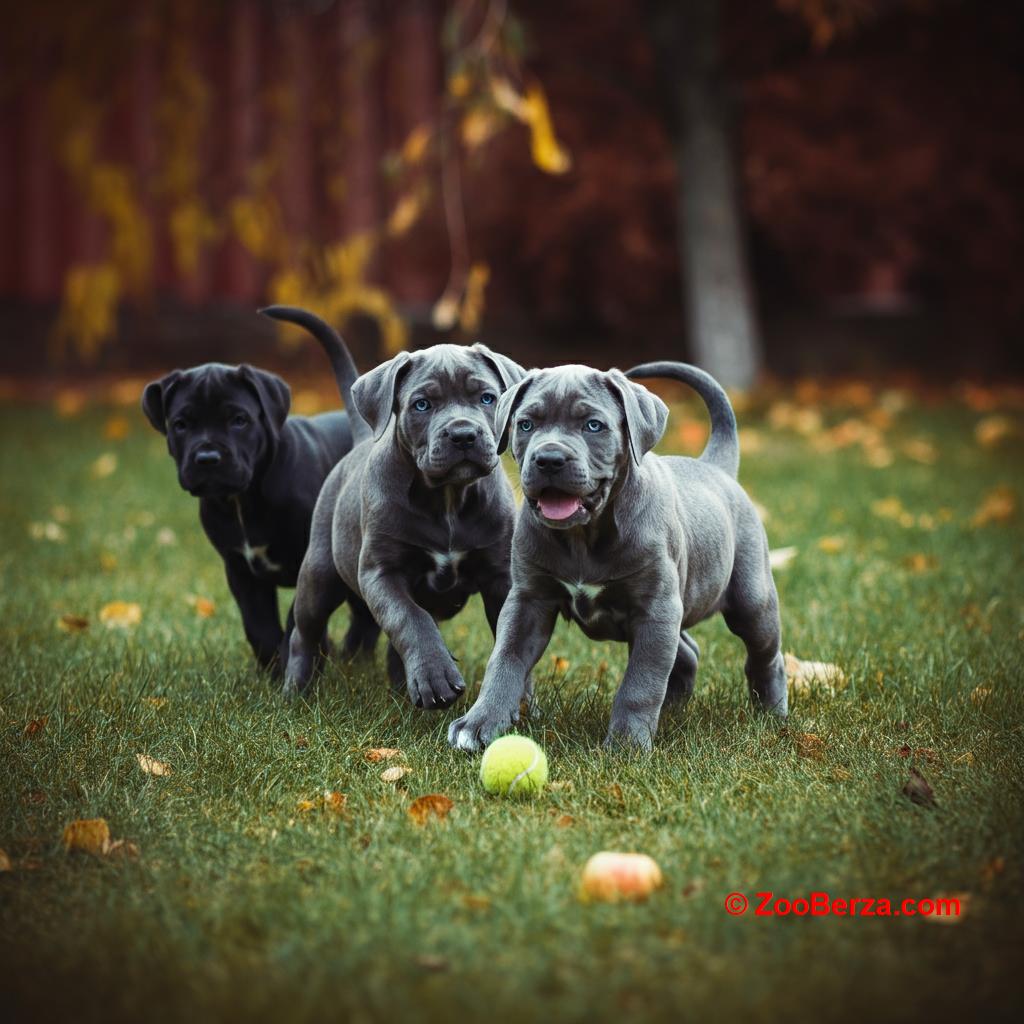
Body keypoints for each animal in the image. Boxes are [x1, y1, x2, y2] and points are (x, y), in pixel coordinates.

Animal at [142, 303, 378, 671]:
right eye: (180, 424)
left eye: (239, 420)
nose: (208, 457)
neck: (243, 498)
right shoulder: (240, 570)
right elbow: (259, 624)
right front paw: (273, 667)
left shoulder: (309, 562)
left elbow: (297, 619)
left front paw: (301, 661)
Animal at [284, 335, 524, 704]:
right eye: (422, 405)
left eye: (487, 398)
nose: (463, 434)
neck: (448, 498)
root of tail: (361, 440)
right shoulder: (381, 573)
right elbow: (410, 618)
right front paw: (437, 676)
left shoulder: (500, 576)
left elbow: (511, 638)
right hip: (319, 575)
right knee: (305, 632)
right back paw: (295, 691)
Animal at [444, 360, 786, 753]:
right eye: (526, 424)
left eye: (593, 425)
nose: (549, 459)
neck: (583, 537)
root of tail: (715, 467)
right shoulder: (528, 601)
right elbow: (504, 661)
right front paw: (479, 723)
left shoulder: (655, 610)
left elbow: (641, 681)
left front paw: (626, 743)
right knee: (687, 650)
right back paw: (672, 709)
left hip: (751, 601)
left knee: (765, 654)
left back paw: (772, 712)